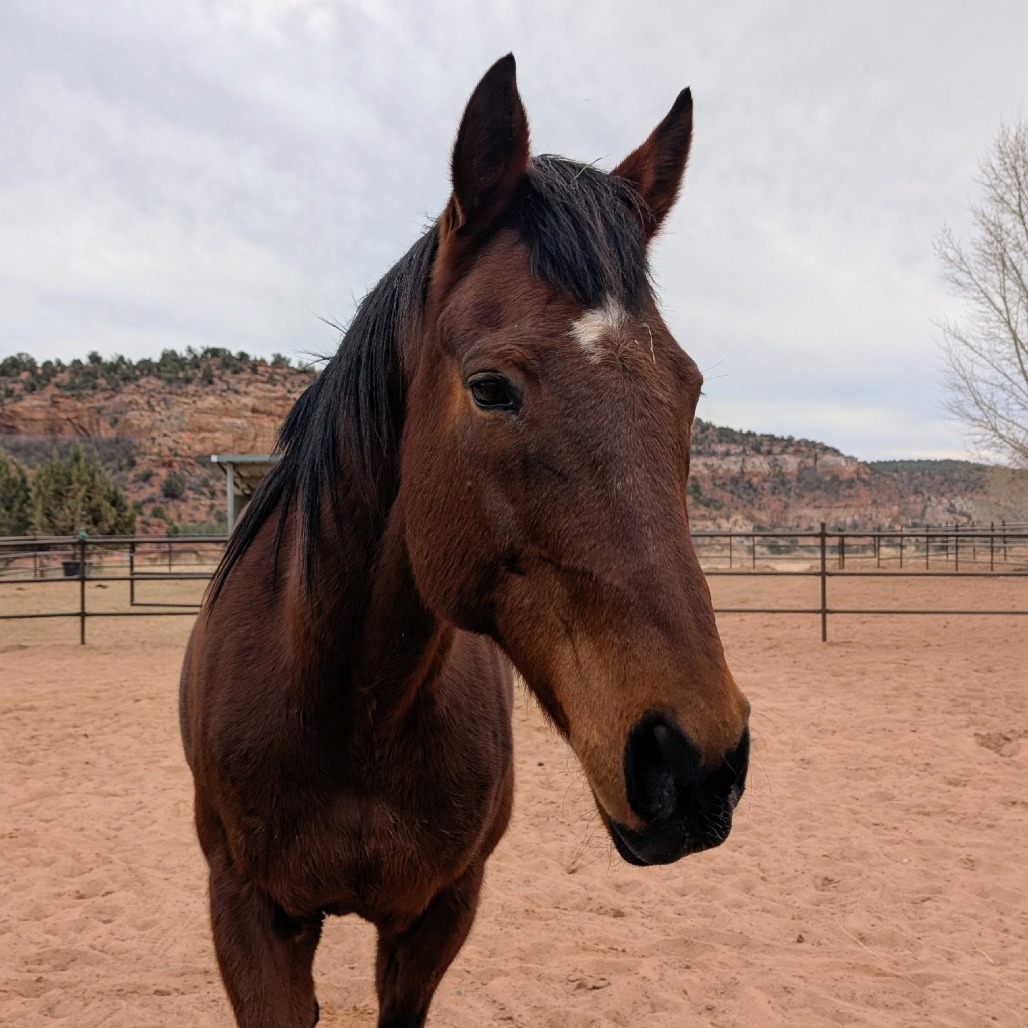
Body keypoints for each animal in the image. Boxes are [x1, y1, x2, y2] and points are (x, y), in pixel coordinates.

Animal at [180, 54, 750, 1028]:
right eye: (489, 389)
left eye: (690, 388)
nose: (696, 760)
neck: (349, 709)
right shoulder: (247, 916)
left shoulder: (441, 913)